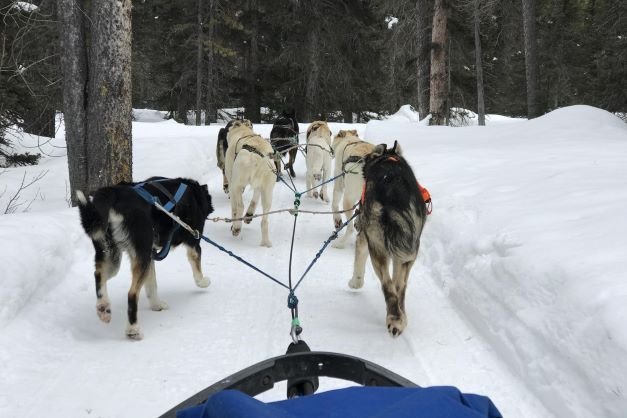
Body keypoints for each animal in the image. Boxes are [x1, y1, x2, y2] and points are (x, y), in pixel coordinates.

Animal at [75, 176, 213, 340]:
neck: (193, 192)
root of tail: (114, 193)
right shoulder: (193, 242)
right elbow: (197, 270)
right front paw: (203, 282)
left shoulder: (150, 256)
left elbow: (152, 284)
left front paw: (156, 305)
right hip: (138, 254)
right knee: (132, 294)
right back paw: (133, 330)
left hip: (112, 256)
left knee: (98, 274)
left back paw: (103, 307)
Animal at [350, 142, 430, 338]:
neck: (387, 158)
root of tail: (393, 189)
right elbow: (397, 283)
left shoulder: (365, 238)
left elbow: (359, 262)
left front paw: (355, 282)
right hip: (408, 251)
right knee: (399, 287)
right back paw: (399, 318)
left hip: (377, 248)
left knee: (388, 286)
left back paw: (394, 318)